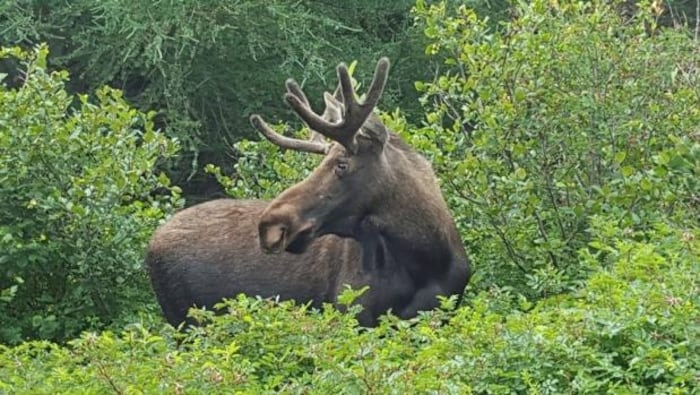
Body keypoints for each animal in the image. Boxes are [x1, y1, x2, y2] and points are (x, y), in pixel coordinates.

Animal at [148, 58, 474, 328]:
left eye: (341, 164)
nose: (270, 225)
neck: (428, 257)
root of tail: (150, 245)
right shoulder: (351, 312)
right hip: (184, 320)